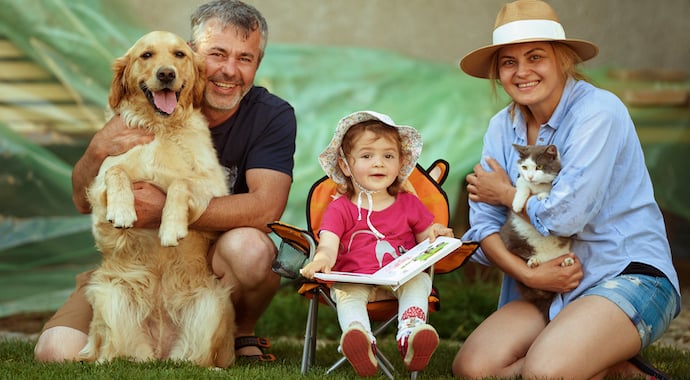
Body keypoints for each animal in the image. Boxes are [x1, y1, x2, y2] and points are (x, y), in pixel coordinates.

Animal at [77, 31, 235, 366]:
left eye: (179, 54)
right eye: (146, 55)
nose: (166, 74)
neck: (160, 126)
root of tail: (160, 353)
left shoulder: (213, 184)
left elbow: (179, 182)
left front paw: (170, 227)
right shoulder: (100, 185)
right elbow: (118, 172)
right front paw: (123, 210)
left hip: (212, 305)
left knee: (197, 361)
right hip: (110, 297)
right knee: (111, 355)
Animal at [500, 144, 568, 320]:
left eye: (539, 166)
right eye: (524, 167)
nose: (530, 176)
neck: (538, 185)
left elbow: (550, 193)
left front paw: (543, 195)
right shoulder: (521, 180)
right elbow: (522, 185)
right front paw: (517, 204)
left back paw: (566, 262)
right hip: (511, 238)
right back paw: (533, 262)